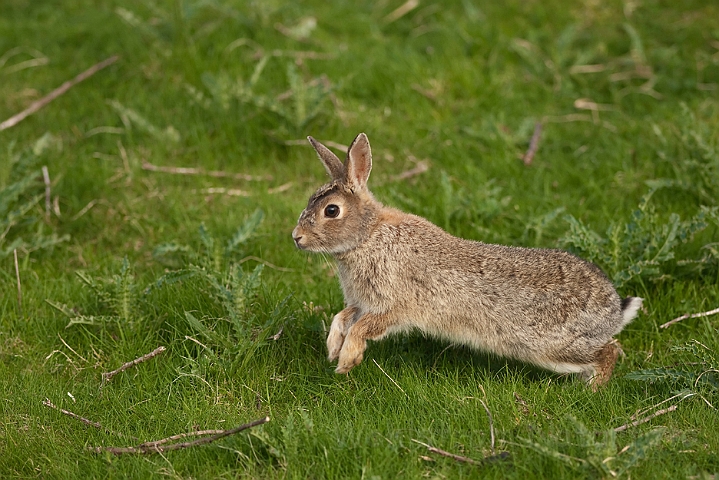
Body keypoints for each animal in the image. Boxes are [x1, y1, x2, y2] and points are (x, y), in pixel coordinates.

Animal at [290, 133, 644, 388]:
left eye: (331, 210)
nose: (296, 237)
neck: (366, 237)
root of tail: (615, 309)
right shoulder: (360, 302)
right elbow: (342, 317)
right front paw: (333, 348)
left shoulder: (393, 306)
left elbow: (363, 328)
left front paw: (347, 360)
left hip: (553, 347)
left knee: (609, 350)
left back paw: (593, 390)